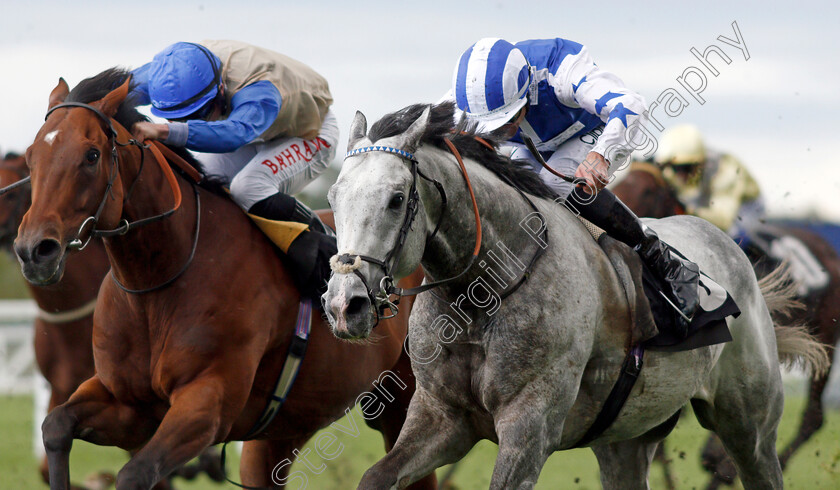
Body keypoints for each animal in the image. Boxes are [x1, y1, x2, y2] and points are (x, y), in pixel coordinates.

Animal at [16, 70, 436, 490]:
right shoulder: (128, 404)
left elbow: (136, 473)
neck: (158, 281)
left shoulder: (207, 404)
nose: (34, 250)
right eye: (31, 157)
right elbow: (56, 426)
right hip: (282, 432)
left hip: (403, 402)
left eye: (91, 155)